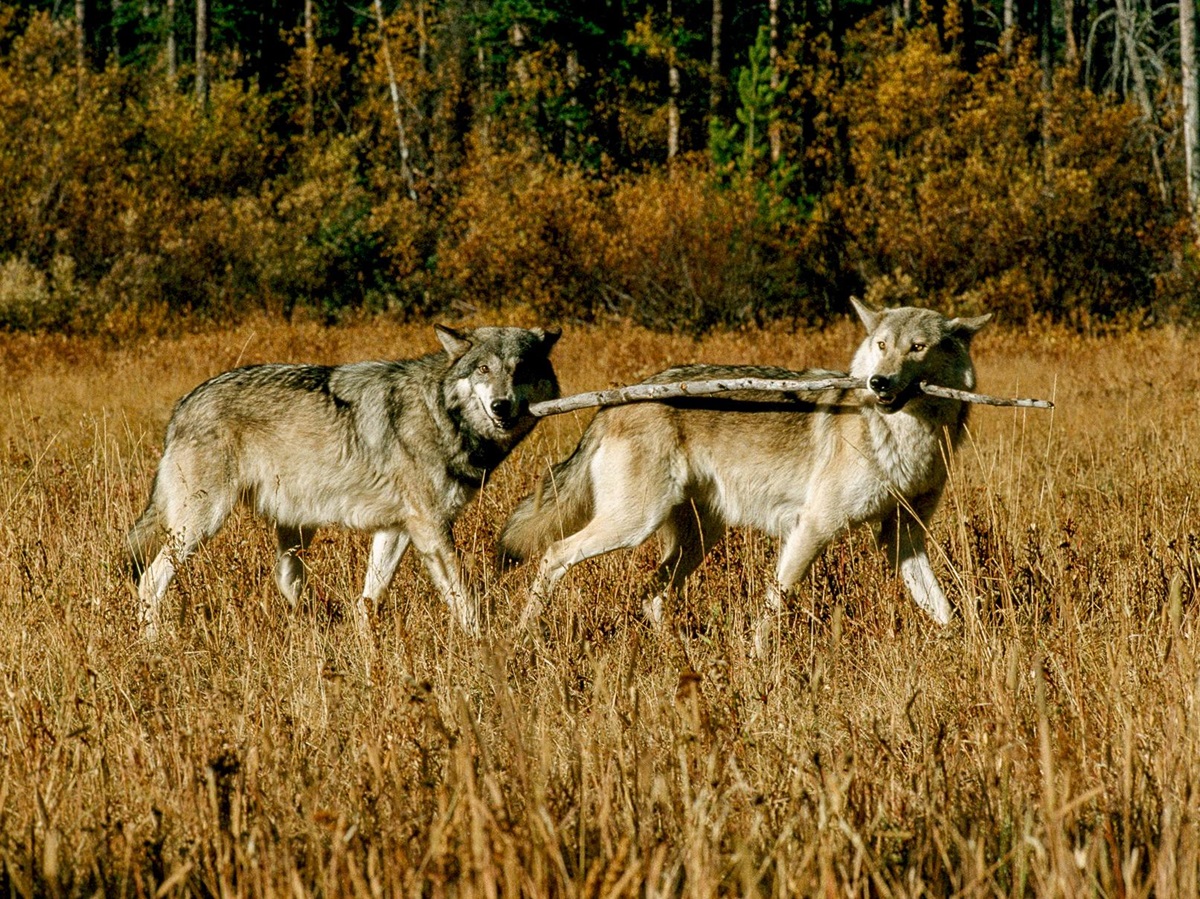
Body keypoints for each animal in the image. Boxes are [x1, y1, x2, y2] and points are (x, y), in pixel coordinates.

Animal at [129, 324, 560, 639]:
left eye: (521, 369)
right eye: (483, 369)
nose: (501, 406)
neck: (441, 413)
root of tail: (184, 404)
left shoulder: (397, 529)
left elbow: (369, 599)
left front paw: (367, 647)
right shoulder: (431, 528)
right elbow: (464, 599)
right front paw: (484, 647)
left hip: (294, 536)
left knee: (287, 585)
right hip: (201, 524)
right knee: (150, 580)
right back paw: (155, 645)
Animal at [499, 299, 990, 636]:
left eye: (918, 347)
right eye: (883, 345)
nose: (879, 383)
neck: (907, 436)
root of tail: (615, 400)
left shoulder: (902, 539)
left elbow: (945, 609)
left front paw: (964, 650)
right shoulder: (813, 527)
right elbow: (774, 607)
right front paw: (759, 666)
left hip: (695, 539)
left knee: (652, 596)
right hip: (633, 525)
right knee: (554, 554)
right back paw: (522, 636)